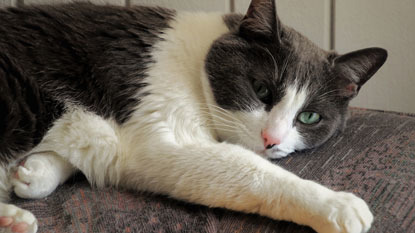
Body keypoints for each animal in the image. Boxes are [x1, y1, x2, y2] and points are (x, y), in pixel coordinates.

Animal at [0, 0, 390, 233]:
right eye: (261, 90)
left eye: (308, 117)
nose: (271, 140)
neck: (199, 58)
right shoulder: (164, 134)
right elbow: (252, 172)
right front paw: (335, 204)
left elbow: (82, 149)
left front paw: (35, 171)